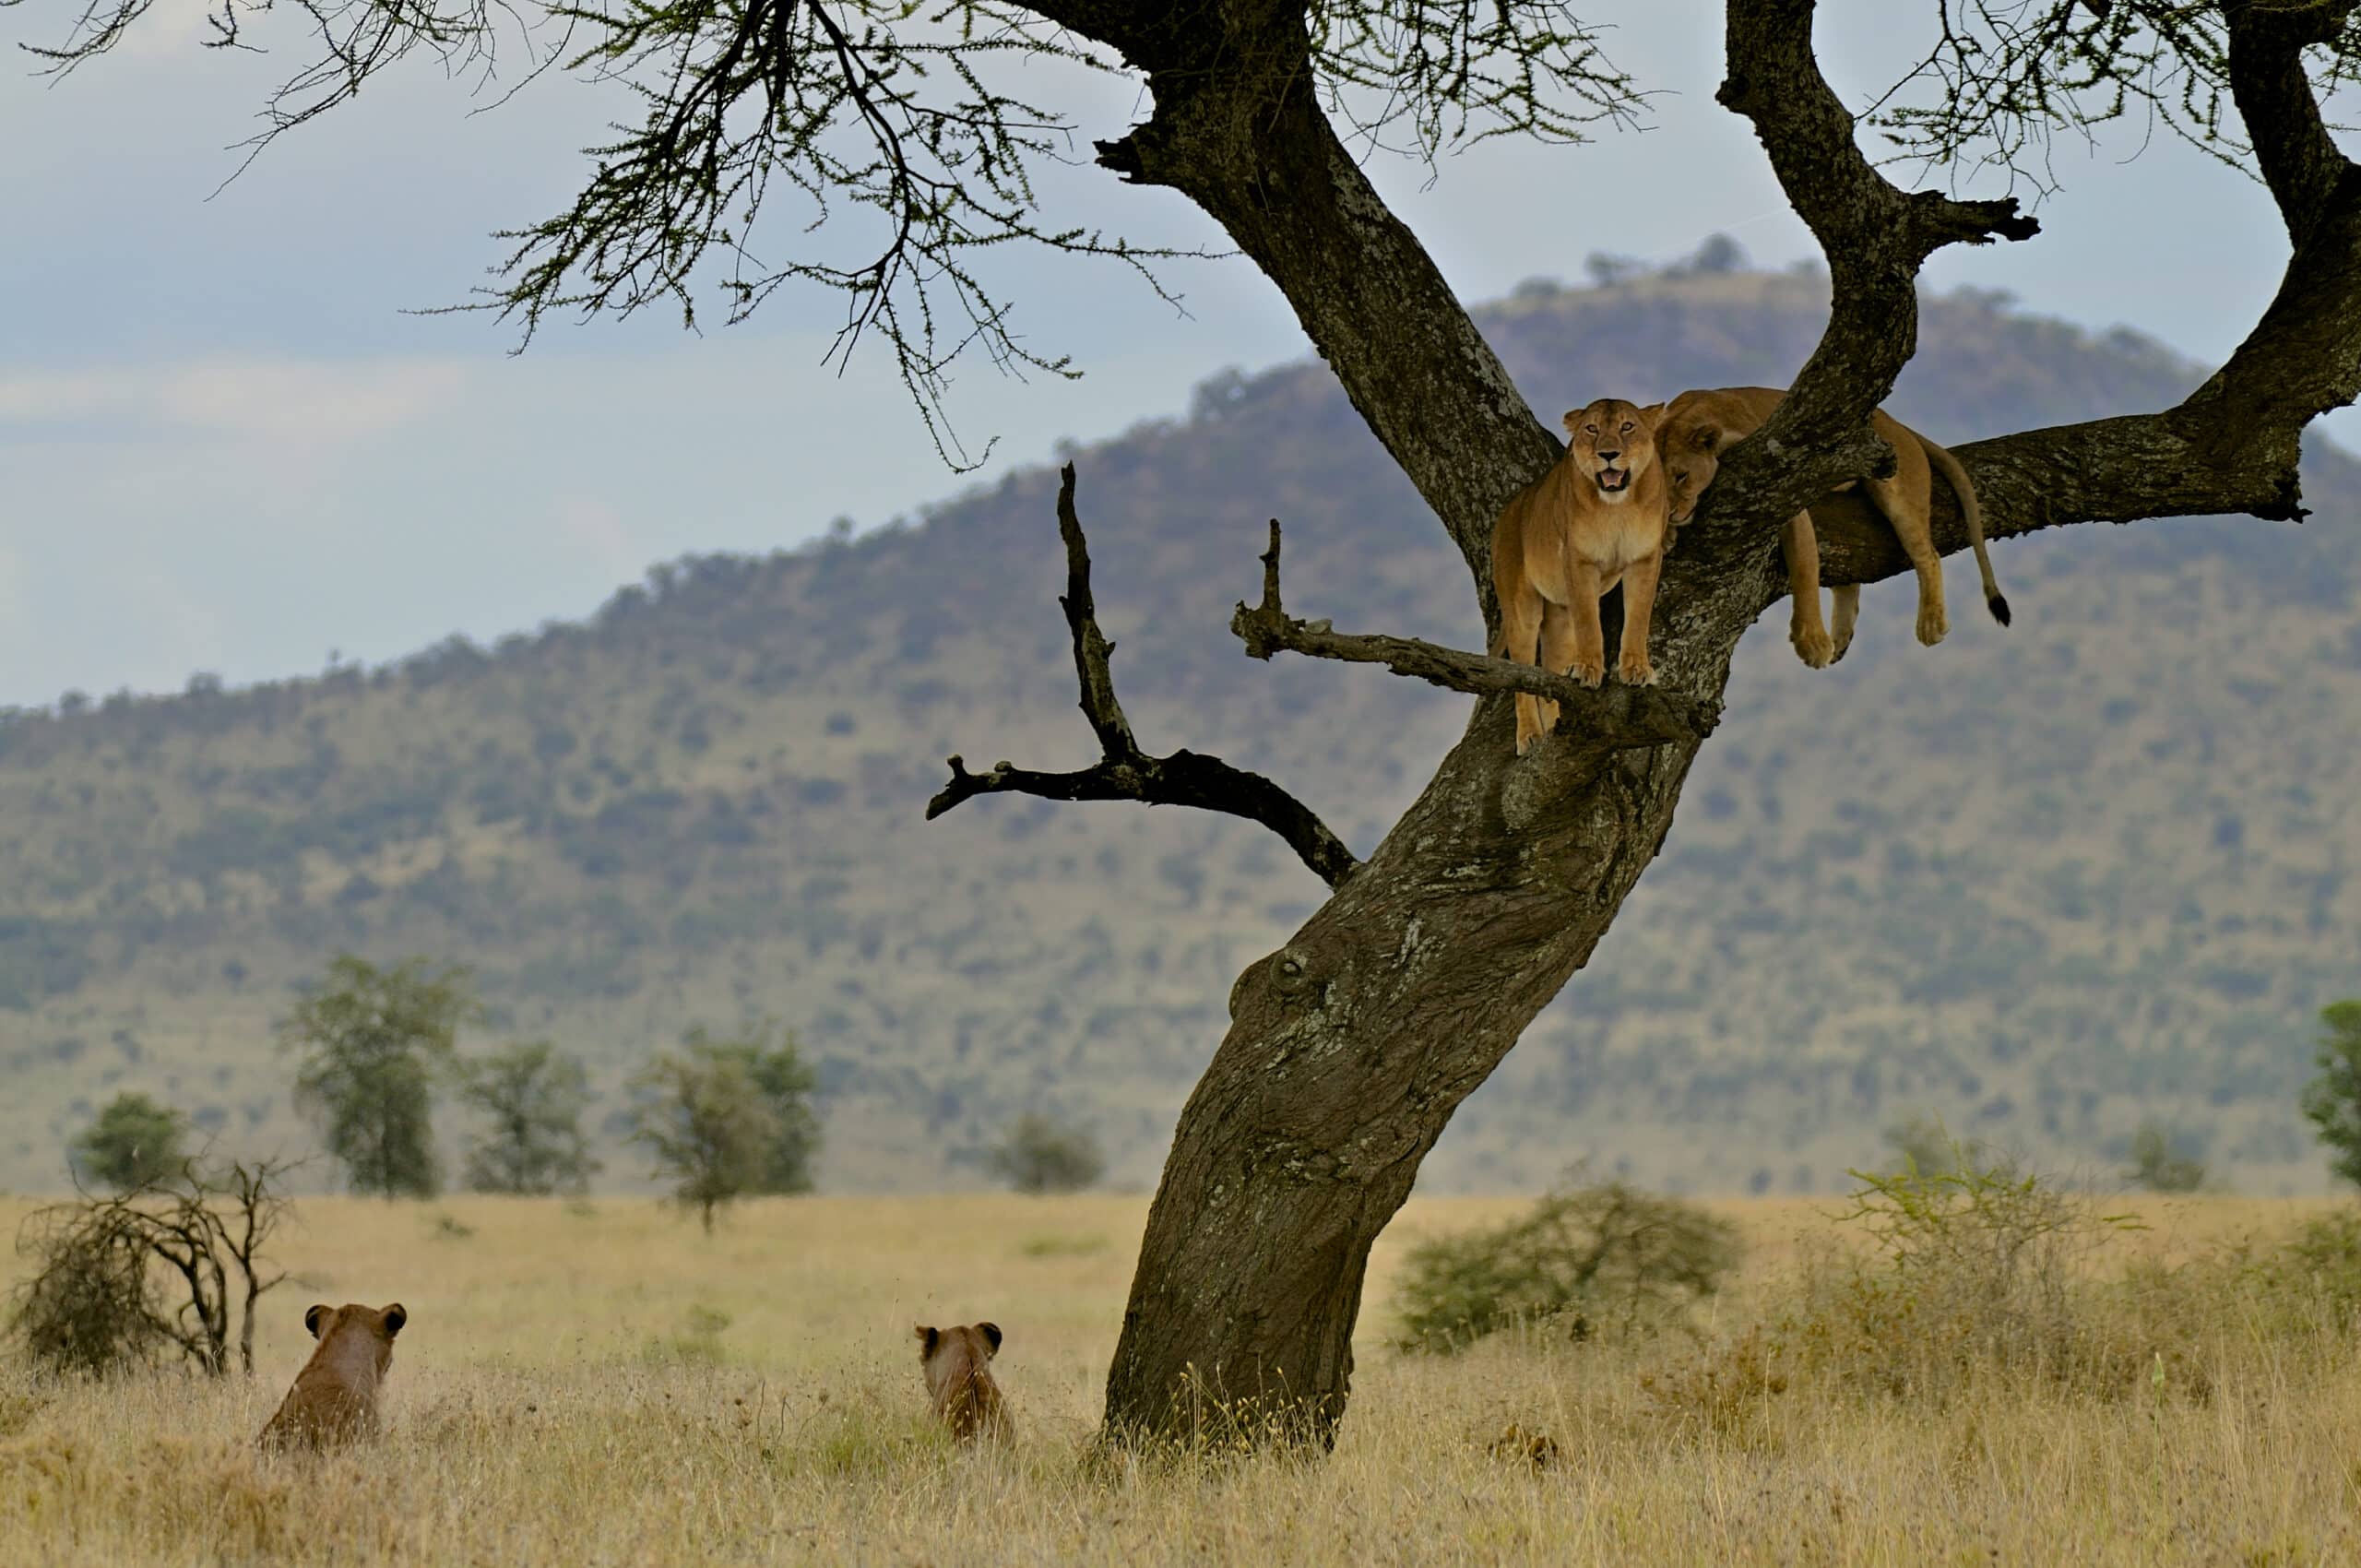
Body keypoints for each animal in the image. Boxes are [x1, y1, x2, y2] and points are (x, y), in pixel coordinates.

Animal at [1490, 397, 1671, 754]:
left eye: (1627, 426)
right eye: (1592, 429)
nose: (1608, 454)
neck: (1617, 507)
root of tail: (1506, 514)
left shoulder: (1644, 558)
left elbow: (1639, 616)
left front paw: (1637, 669)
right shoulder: (1579, 561)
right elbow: (1589, 621)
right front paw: (1588, 669)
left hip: (1559, 616)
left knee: (1550, 671)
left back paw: (1556, 723)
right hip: (1522, 610)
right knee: (1523, 679)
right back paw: (1530, 736)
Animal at [1656, 386, 2009, 668]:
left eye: (1681, 476)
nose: (1670, 513)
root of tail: (1896, 422)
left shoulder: (1784, 486)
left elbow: (1805, 567)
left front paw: (1811, 642)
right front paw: (1666, 535)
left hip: (1897, 489)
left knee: (1928, 555)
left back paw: (1930, 623)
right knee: (1850, 576)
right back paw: (1841, 639)